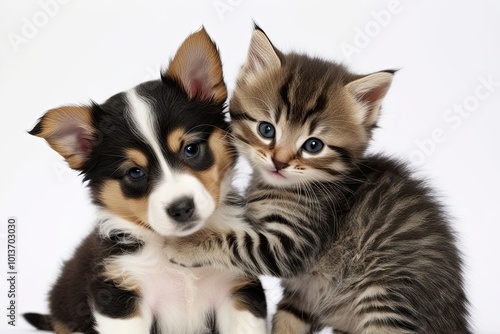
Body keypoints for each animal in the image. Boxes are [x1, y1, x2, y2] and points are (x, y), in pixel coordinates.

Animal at [165, 26, 472, 334]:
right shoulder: (302, 295)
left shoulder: (293, 243)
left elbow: (234, 242)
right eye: (266, 129)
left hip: (387, 295)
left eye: (313, 146)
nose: (279, 161)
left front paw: (184, 246)